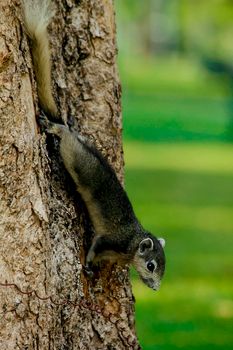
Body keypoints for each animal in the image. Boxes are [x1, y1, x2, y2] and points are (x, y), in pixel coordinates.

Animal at [22, 0, 166, 290]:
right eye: (151, 265)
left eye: (164, 268)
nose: (156, 287)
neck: (132, 242)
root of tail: (76, 136)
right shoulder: (110, 241)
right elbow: (94, 247)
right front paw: (88, 266)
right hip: (68, 149)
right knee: (62, 134)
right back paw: (54, 127)